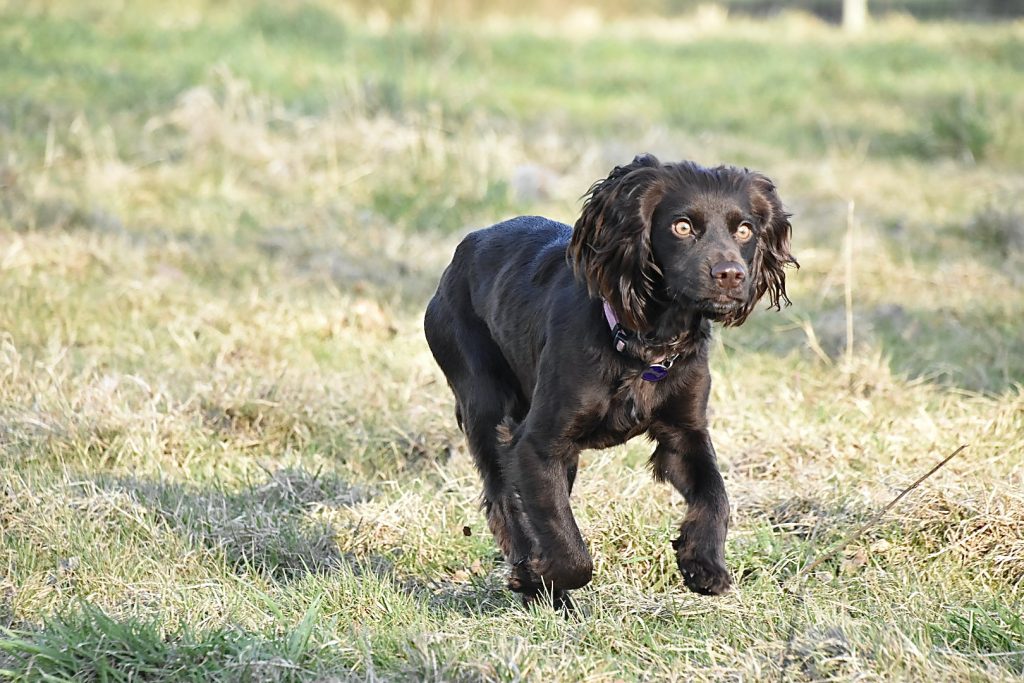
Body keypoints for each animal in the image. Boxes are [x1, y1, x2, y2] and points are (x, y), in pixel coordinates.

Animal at [419, 154, 794, 610]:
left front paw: (704, 564)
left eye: (744, 230)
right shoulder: (536, 444)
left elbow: (715, 496)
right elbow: (569, 547)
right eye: (682, 226)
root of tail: (464, 248)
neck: (645, 346)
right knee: (503, 499)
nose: (731, 275)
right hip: (483, 402)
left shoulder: (684, 433)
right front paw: (540, 577)